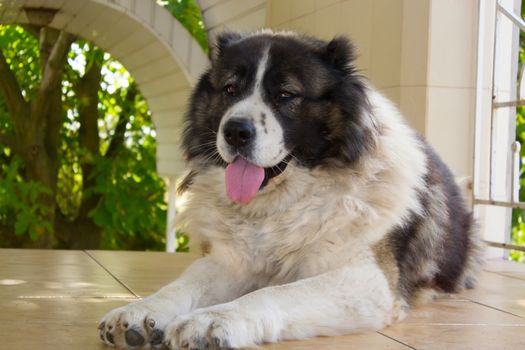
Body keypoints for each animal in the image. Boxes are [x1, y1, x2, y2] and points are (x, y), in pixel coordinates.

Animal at [97, 31, 478, 348]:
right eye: (230, 89)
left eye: (286, 95)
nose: (236, 132)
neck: (281, 203)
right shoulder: (230, 262)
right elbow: (184, 285)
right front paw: (142, 311)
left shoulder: (366, 281)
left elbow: (274, 294)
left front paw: (212, 320)